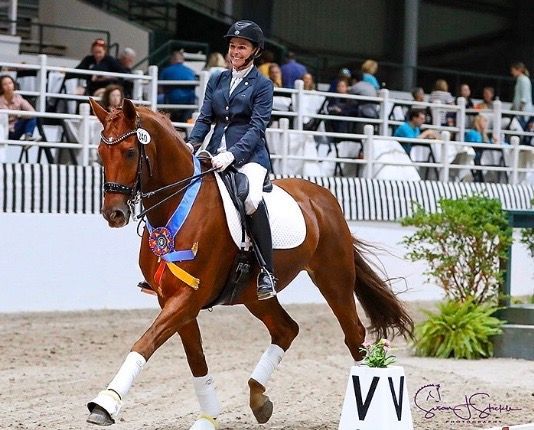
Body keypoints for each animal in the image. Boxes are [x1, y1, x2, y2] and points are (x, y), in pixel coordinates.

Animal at [88, 99, 414, 428]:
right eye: (100, 153)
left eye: (130, 151)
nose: (113, 214)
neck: (176, 206)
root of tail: (323, 196)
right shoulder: (172, 299)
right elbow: (195, 360)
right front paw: (208, 416)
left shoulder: (189, 297)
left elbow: (144, 343)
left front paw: (105, 404)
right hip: (253, 294)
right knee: (286, 329)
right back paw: (259, 399)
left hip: (333, 277)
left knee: (353, 334)